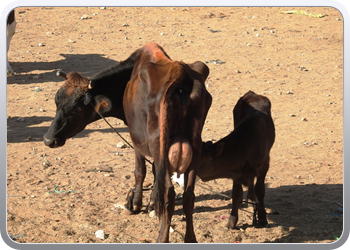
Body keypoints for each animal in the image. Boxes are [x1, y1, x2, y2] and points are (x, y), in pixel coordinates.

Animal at [122, 42, 211, 242]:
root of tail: (180, 71)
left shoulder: (137, 142)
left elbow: (140, 171)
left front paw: (137, 204)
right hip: (195, 146)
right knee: (188, 195)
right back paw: (190, 238)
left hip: (158, 144)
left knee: (169, 193)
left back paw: (162, 237)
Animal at [197, 91, 276, 229]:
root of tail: (252, 93)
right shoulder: (236, 171)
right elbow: (236, 193)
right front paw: (232, 220)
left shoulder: (264, 165)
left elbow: (260, 190)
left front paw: (262, 218)